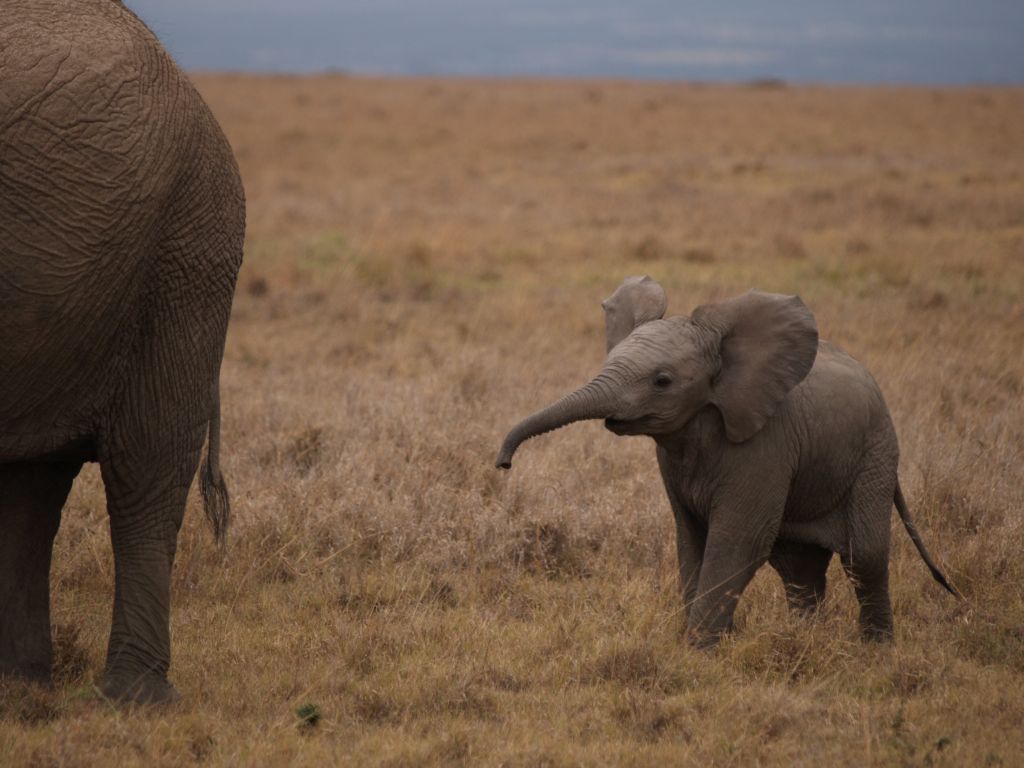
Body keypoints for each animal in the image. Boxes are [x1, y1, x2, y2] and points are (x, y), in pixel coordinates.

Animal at [497, 276, 958, 651]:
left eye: (662, 381)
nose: (503, 464)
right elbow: (691, 538)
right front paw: (704, 641)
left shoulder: (766, 444)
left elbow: (738, 540)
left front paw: (698, 651)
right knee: (798, 566)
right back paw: (802, 638)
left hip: (875, 454)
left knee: (863, 555)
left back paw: (876, 651)